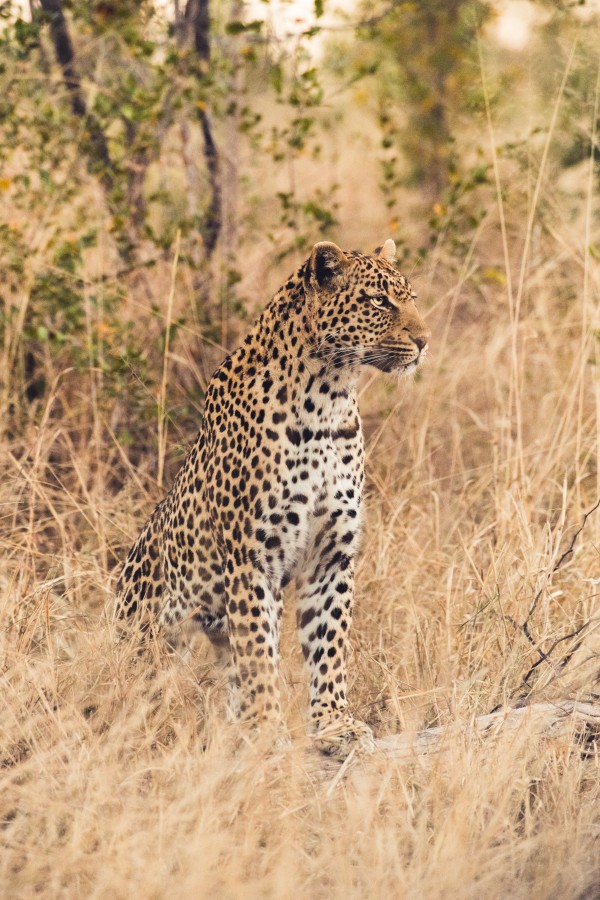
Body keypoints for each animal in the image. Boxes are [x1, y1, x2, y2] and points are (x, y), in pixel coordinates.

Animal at [115, 238, 430, 759]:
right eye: (379, 301)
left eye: (413, 299)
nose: (425, 341)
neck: (328, 398)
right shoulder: (252, 558)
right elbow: (258, 652)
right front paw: (266, 729)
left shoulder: (331, 556)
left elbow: (329, 645)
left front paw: (333, 724)